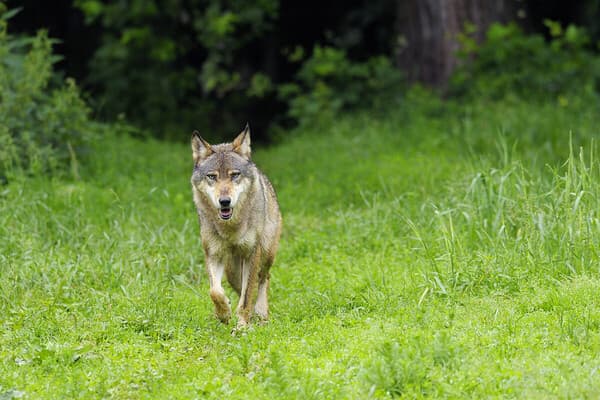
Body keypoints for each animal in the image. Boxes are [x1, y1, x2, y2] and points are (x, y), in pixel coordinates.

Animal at [191, 123, 282, 330]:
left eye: (235, 175)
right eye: (212, 177)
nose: (225, 201)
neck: (230, 229)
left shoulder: (252, 253)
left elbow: (247, 297)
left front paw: (241, 327)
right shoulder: (213, 254)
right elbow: (215, 291)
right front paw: (224, 313)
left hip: (266, 254)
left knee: (263, 279)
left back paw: (261, 313)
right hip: (232, 270)